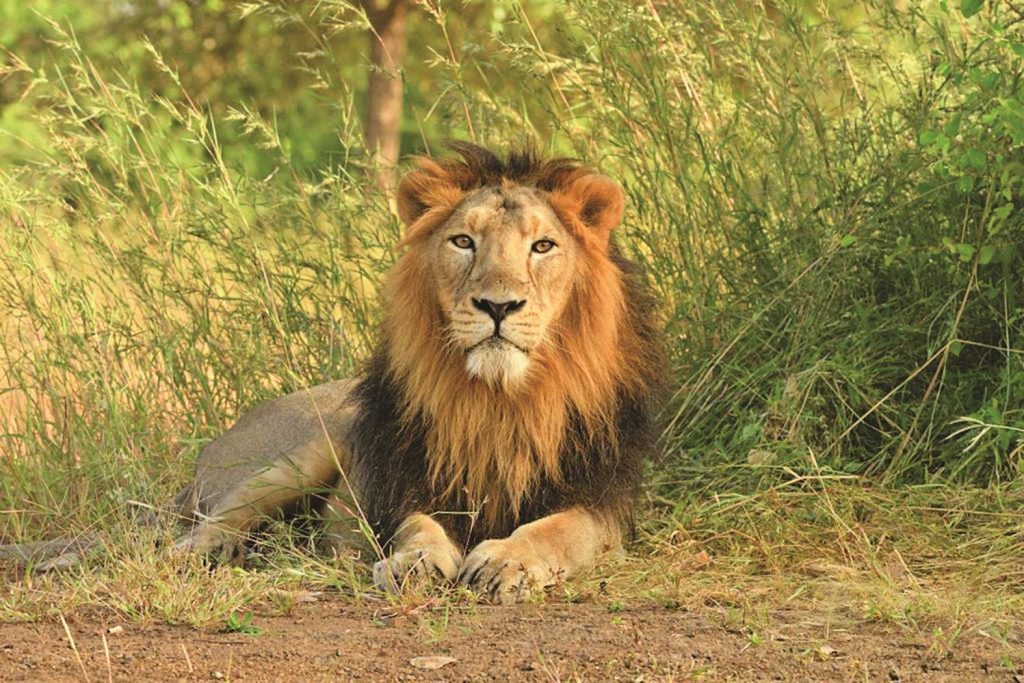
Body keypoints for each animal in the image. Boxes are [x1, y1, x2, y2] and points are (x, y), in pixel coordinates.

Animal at [2, 144, 666, 603]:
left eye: (543, 246)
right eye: (463, 241)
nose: (497, 306)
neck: (500, 398)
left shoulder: (603, 500)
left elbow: (558, 530)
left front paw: (508, 560)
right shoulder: (407, 481)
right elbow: (418, 527)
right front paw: (416, 563)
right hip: (303, 449)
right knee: (196, 532)